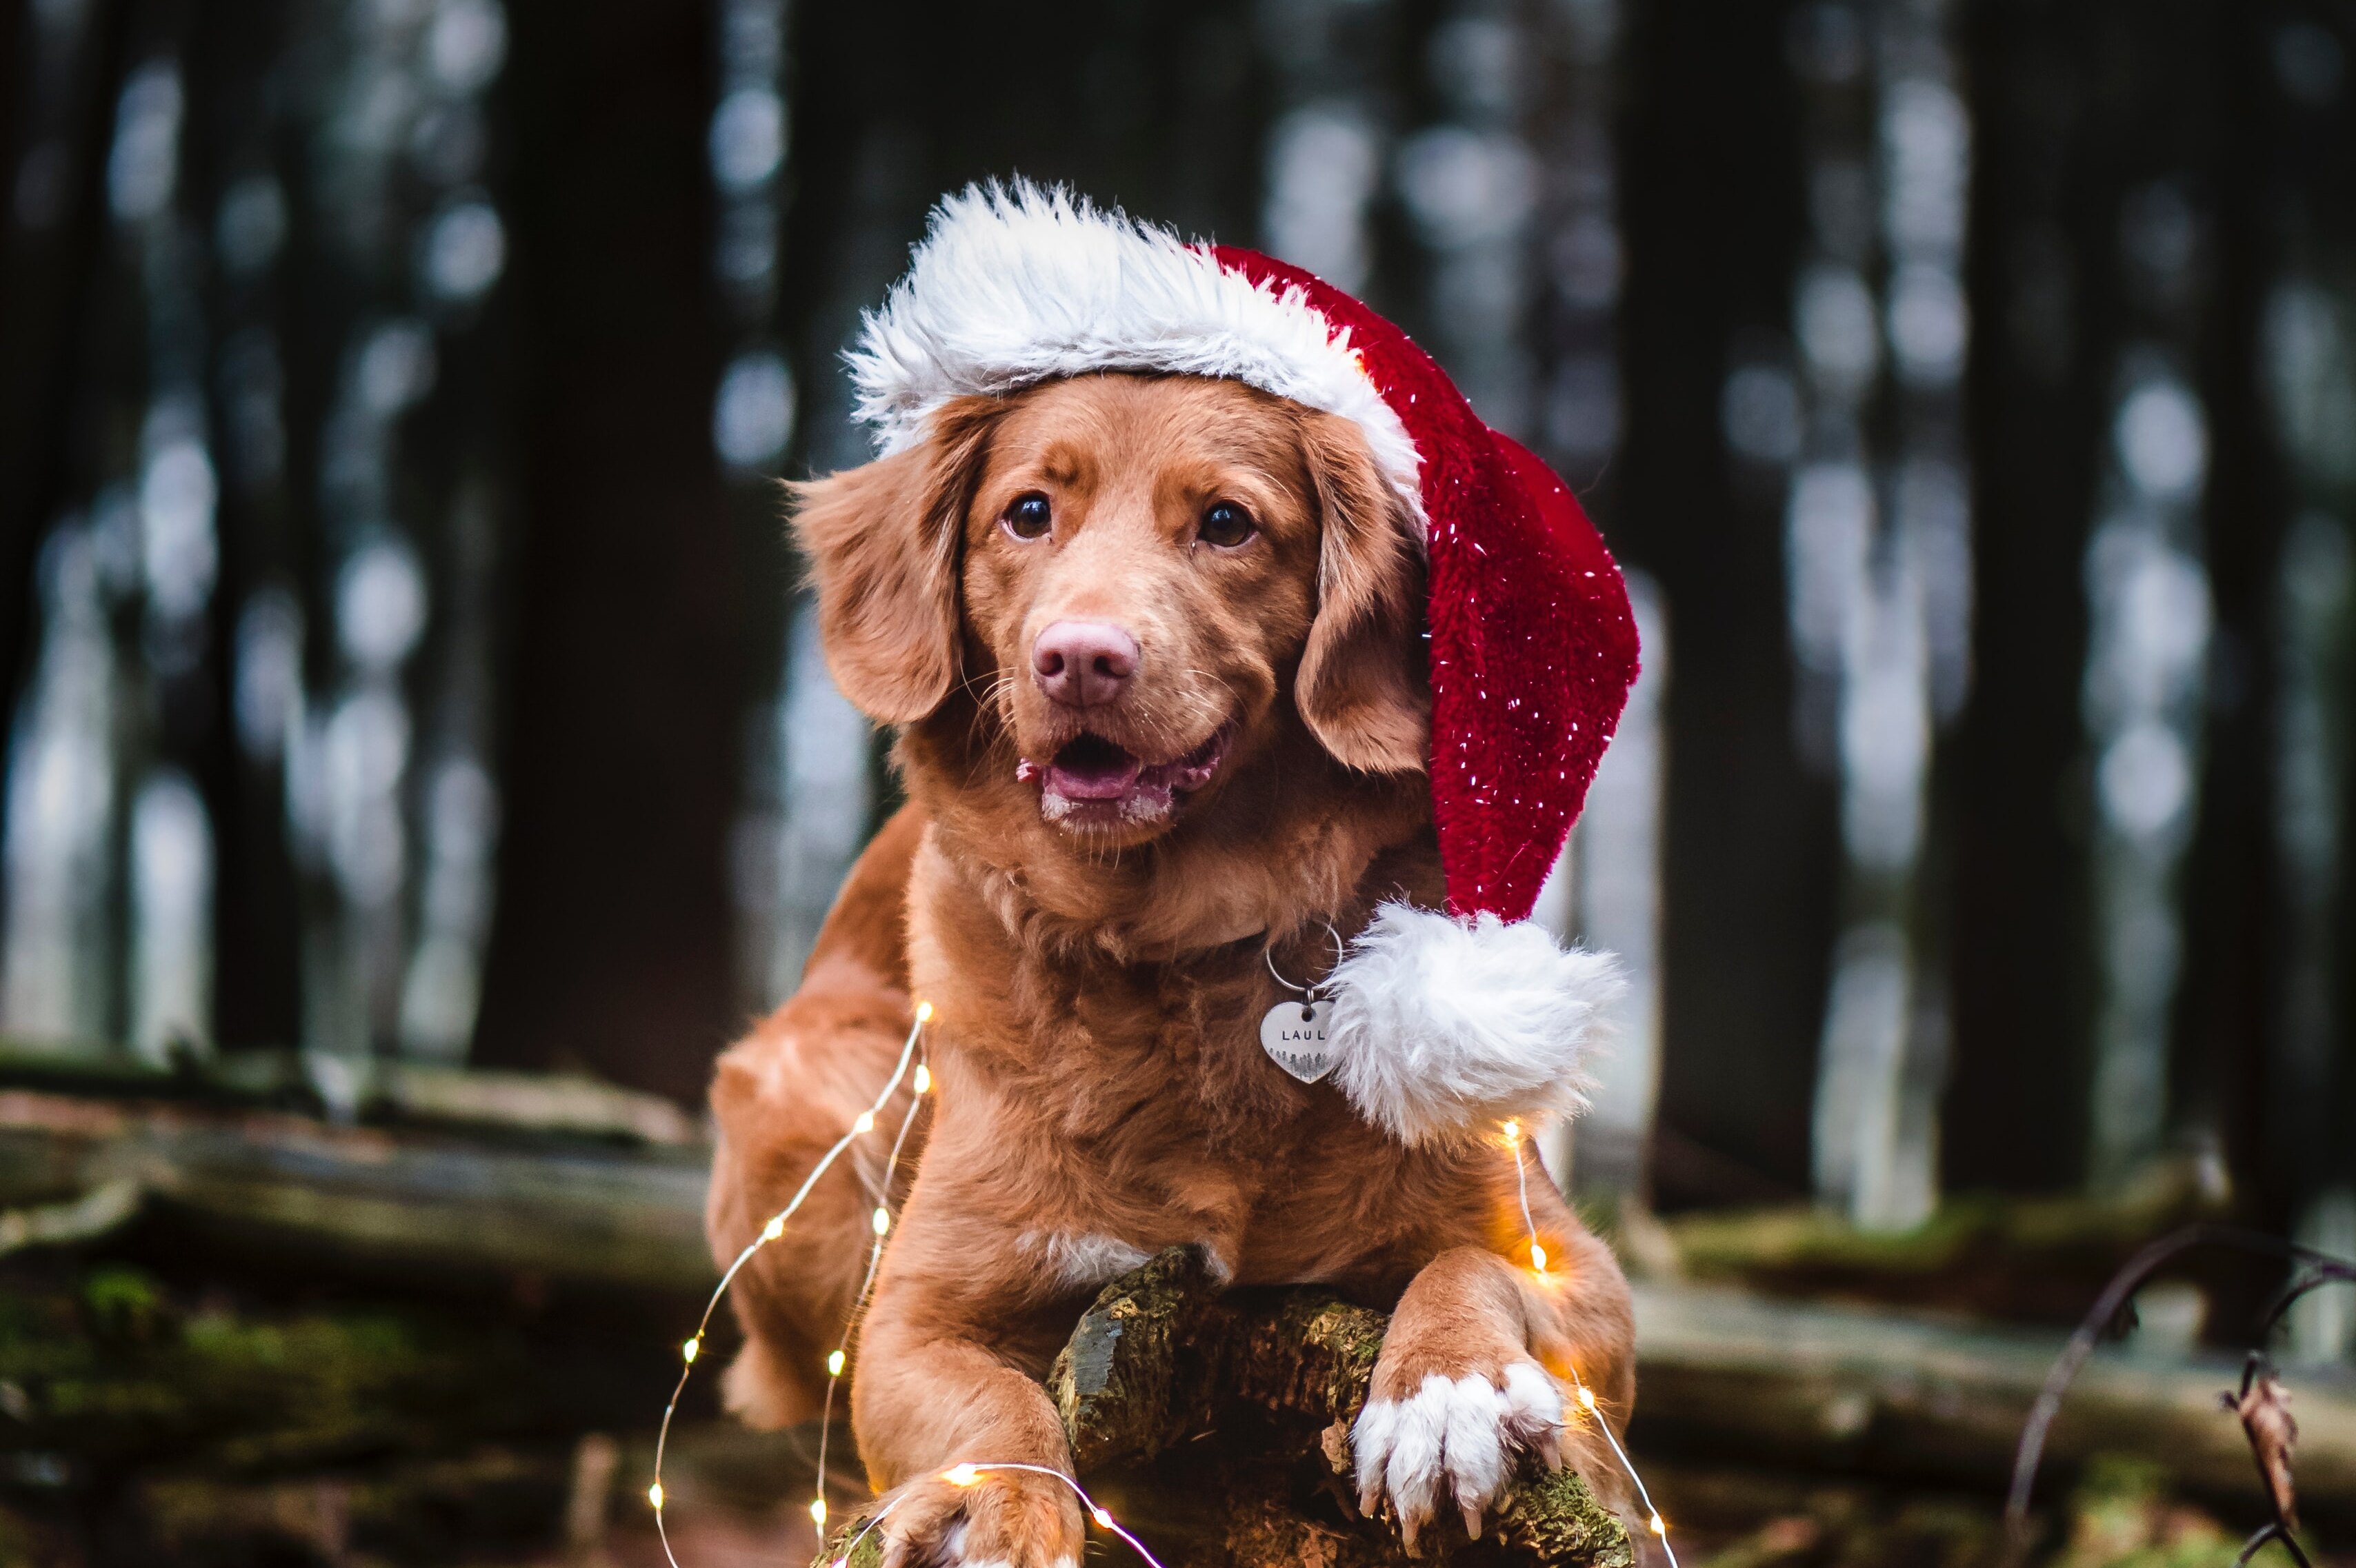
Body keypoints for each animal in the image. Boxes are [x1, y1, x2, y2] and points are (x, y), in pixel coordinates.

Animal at [706, 367, 1639, 1563]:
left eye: (1228, 523)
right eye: (1028, 512)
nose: (1080, 658)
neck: (1172, 949)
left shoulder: (1578, 1266)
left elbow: (1474, 1264)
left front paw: (1445, 1390)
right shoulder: (911, 1317)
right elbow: (990, 1400)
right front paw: (994, 1508)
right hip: (799, 1101)